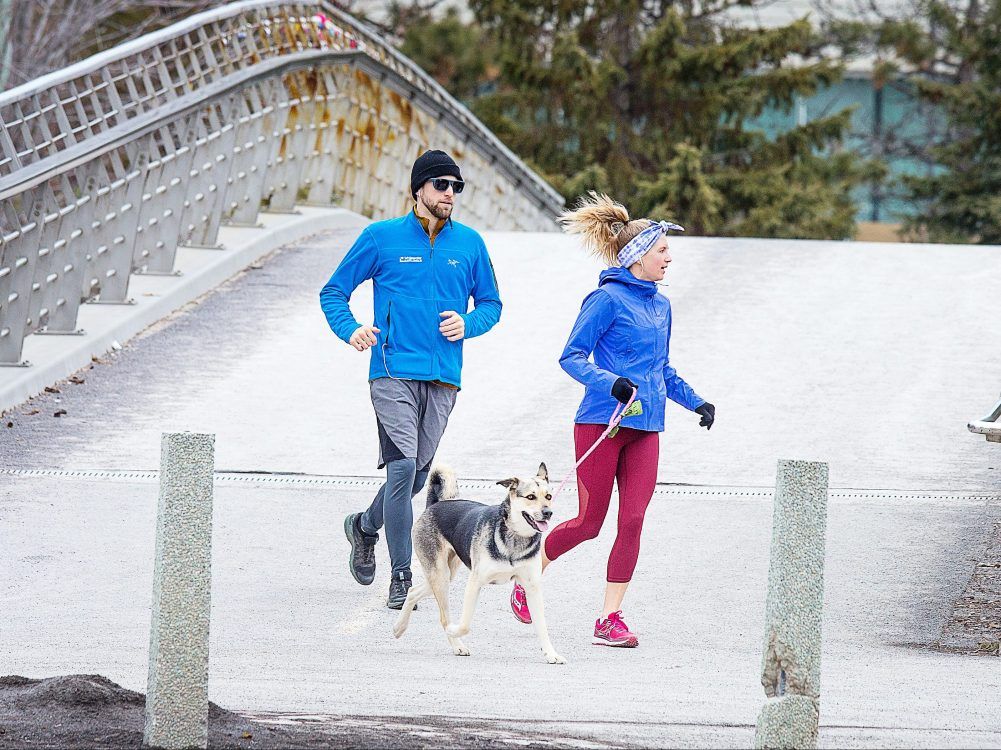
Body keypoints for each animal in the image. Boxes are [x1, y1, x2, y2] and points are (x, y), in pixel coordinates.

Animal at [390, 462, 564, 660]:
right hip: (439, 575)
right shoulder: (475, 582)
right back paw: (456, 643)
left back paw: (399, 628)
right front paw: (454, 630)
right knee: (444, 618)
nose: (548, 512)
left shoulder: (532, 587)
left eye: (548, 496)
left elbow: (542, 626)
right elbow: (464, 624)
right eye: (531, 497)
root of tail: (435, 505)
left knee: (412, 591)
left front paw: (551, 654)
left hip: (445, 575)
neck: (514, 536)